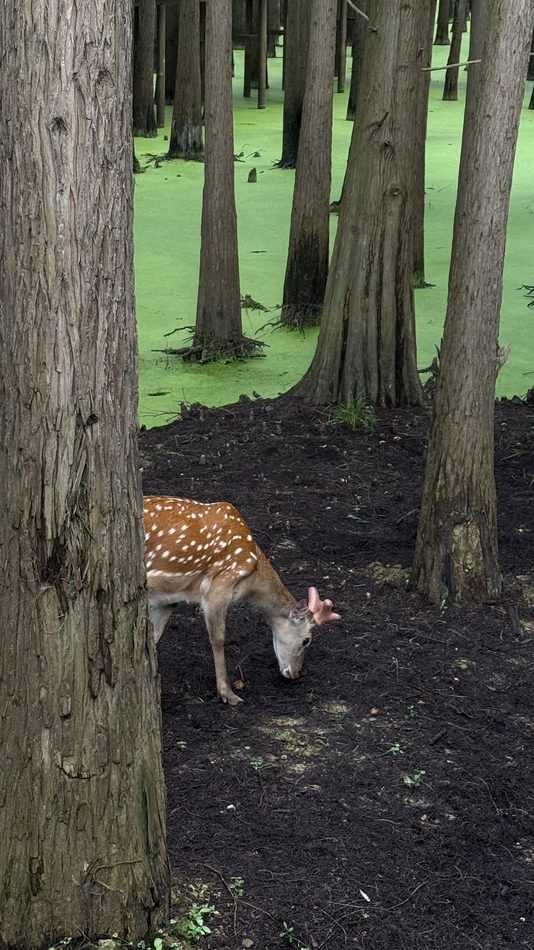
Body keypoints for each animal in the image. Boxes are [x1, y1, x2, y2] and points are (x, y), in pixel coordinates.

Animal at [143, 496, 341, 705]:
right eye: (306, 640)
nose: (294, 674)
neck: (252, 579)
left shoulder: (170, 598)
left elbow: (154, 635)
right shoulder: (219, 587)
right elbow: (218, 638)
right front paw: (227, 694)